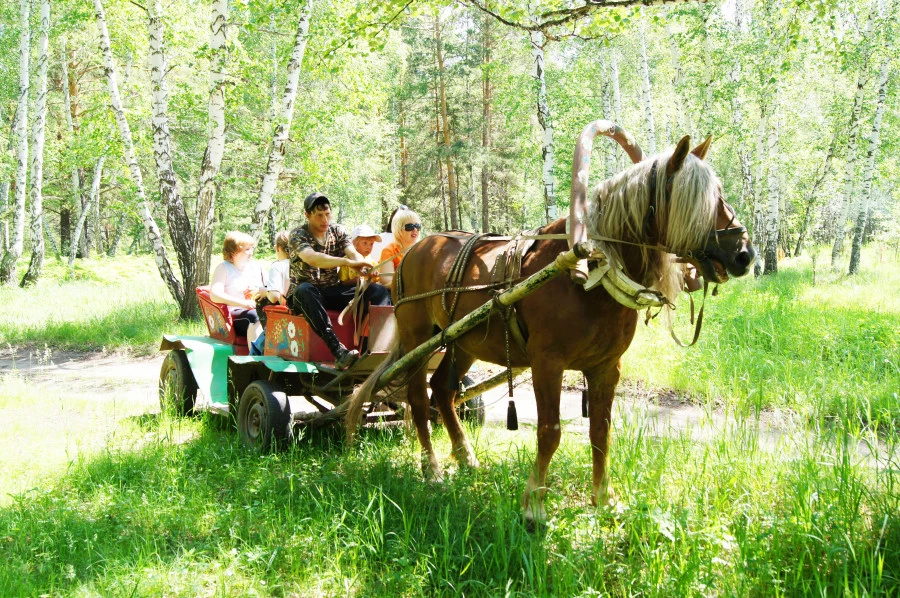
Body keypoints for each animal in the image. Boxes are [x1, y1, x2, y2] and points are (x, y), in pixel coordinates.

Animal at [348, 126, 756, 524]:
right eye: (699, 199)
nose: (744, 254)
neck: (590, 271)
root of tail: (415, 249)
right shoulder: (548, 362)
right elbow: (550, 431)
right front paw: (534, 505)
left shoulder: (607, 367)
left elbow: (601, 430)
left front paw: (604, 499)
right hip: (418, 337)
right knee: (419, 399)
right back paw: (431, 467)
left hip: (463, 342)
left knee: (443, 392)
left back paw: (465, 457)